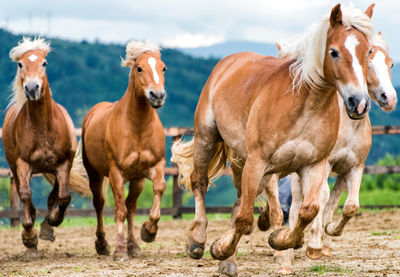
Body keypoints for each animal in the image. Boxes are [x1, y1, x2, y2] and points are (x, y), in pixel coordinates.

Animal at [1, 36, 89, 258]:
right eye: (20, 64)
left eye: (44, 63)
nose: (32, 88)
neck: (43, 127)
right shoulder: (22, 164)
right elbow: (25, 196)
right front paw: (29, 237)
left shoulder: (63, 164)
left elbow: (63, 197)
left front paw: (50, 225)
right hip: (16, 168)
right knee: (26, 196)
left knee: (54, 196)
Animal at [82, 40, 166, 260]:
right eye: (139, 68)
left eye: (163, 68)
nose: (157, 95)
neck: (137, 127)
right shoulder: (116, 173)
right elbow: (118, 210)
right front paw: (120, 251)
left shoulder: (154, 167)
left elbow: (158, 190)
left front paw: (148, 231)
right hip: (94, 174)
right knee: (100, 203)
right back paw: (102, 245)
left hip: (137, 180)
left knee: (131, 207)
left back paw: (134, 246)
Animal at [173, 4, 376, 276]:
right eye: (334, 52)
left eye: (369, 51)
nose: (359, 103)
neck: (303, 106)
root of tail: (228, 63)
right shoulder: (258, 163)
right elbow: (246, 218)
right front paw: (219, 248)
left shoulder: (314, 165)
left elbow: (307, 211)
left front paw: (279, 240)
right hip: (208, 138)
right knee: (200, 183)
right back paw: (197, 240)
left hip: (243, 162)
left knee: (238, 203)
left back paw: (228, 262)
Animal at [272, 30, 396, 274]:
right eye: (368, 62)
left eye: (391, 64)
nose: (389, 98)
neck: (350, 127)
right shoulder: (325, 165)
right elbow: (321, 198)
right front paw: (314, 246)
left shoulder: (354, 167)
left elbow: (349, 205)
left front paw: (329, 231)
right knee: (291, 208)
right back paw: (287, 255)